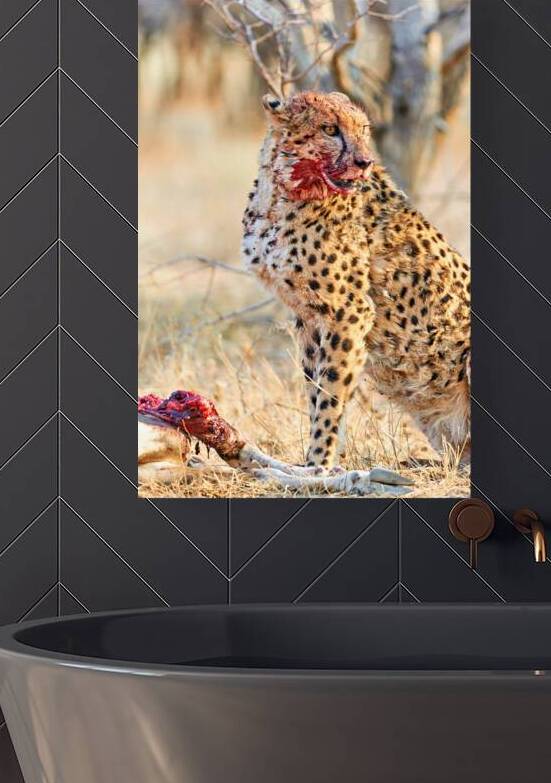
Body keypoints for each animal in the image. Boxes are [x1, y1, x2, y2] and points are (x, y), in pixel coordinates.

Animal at [241, 90, 470, 471]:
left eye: (363, 129)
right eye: (329, 129)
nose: (364, 161)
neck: (284, 191)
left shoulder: (349, 312)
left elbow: (331, 395)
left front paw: (318, 466)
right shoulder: (308, 318)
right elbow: (315, 391)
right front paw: (312, 464)